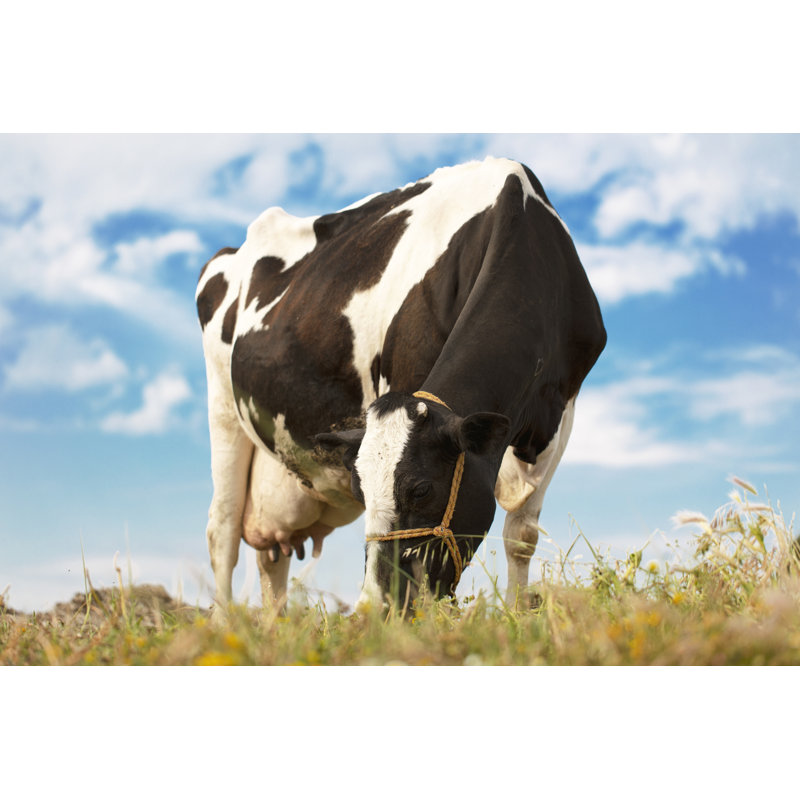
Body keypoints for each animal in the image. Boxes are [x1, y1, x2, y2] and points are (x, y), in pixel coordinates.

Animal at [196, 156, 606, 614]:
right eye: (359, 490)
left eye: (421, 489)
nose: (377, 605)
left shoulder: (560, 413)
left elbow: (522, 535)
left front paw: (519, 616)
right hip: (223, 410)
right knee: (223, 533)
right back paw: (225, 623)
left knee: (270, 558)